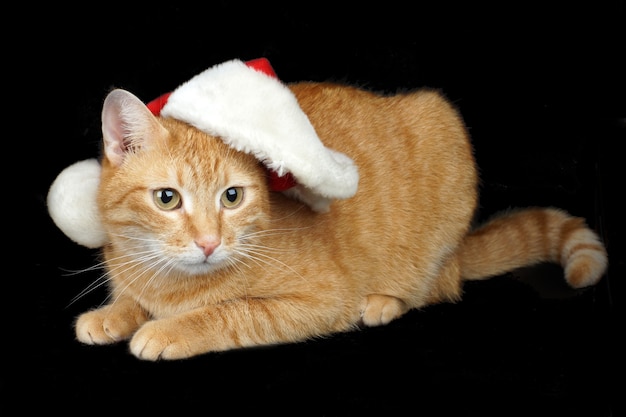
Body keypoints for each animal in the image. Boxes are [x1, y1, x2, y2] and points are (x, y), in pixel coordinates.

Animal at [68, 79, 604, 360]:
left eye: (232, 197)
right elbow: (130, 299)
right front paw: (112, 313)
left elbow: (229, 312)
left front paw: (167, 329)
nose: (208, 243)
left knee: (439, 285)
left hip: (441, 130)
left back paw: (385, 302)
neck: (170, 285)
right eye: (167, 199)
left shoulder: (319, 300)